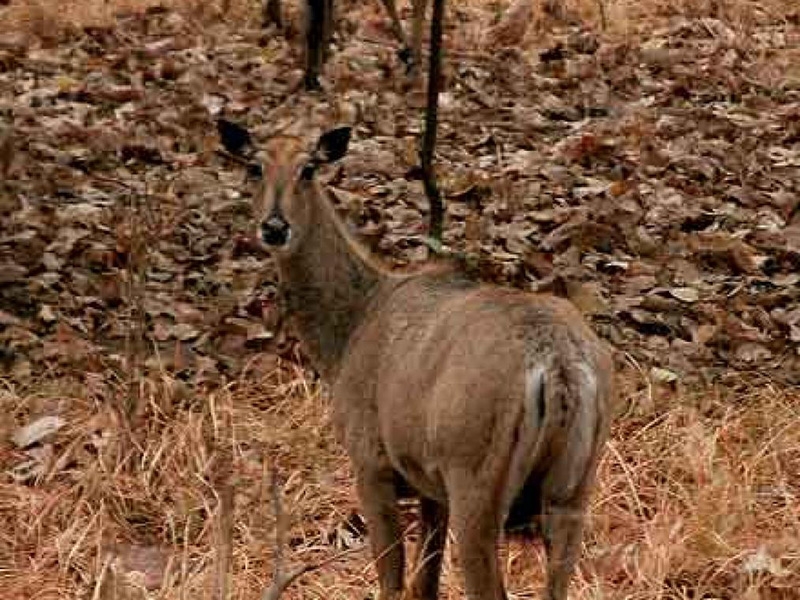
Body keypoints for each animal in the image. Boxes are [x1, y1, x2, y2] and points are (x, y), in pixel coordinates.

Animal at [256, 124, 612, 596]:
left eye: (309, 168)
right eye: (255, 166)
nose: (274, 227)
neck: (348, 334)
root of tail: (558, 365)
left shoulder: (371, 462)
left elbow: (393, 582)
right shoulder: (429, 486)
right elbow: (425, 582)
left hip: (474, 470)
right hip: (575, 487)